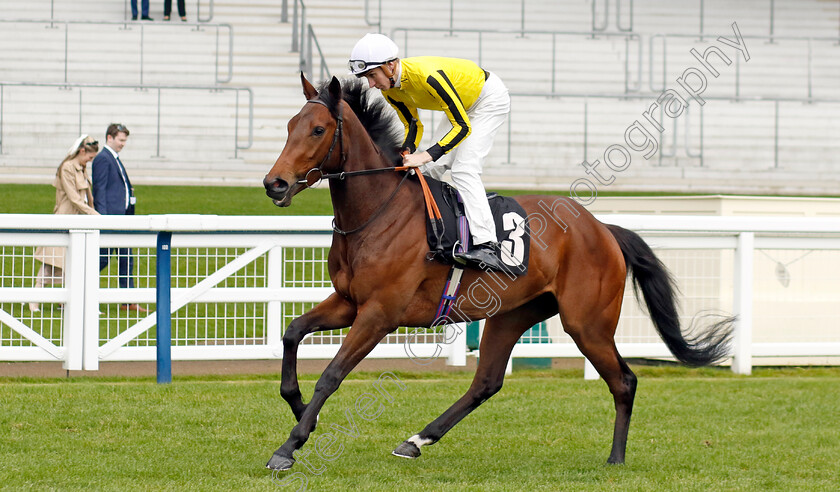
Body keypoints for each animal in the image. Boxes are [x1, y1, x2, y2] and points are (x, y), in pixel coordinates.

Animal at [262, 74, 736, 472]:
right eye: (288, 126)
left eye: (318, 130)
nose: (274, 184)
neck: (378, 211)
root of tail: (602, 228)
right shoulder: (348, 301)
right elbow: (292, 331)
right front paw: (298, 407)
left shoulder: (380, 313)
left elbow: (331, 374)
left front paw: (289, 446)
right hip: (512, 315)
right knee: (486, 382)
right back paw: (417, 440)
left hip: (587, 323)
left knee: (625, 380)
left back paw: (616, 458)